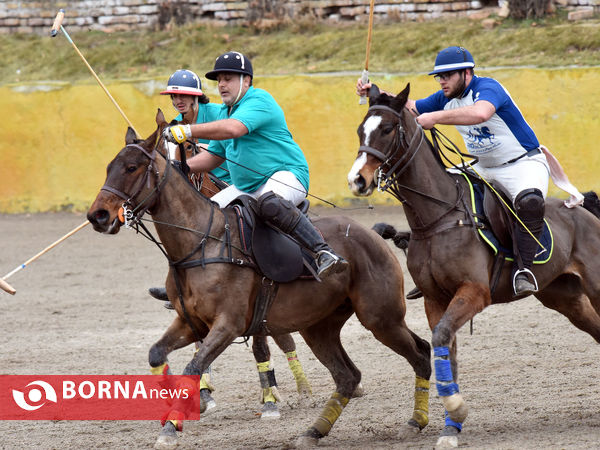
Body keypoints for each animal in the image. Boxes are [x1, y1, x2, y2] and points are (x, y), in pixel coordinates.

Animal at [85, 110, 432, 450]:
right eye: (108, 168)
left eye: (131, 167)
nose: (97, 216)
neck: (200, 243)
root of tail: (369, 233)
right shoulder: (190, 322)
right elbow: (157, 354)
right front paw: (179, 411)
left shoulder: (228, 324)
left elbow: (193, 367)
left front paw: (175, 424)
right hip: (319, 327)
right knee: (348, 376)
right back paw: (313, 432)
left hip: (380, 317)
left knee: (421, 352)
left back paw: (416, 421)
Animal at [344, 83, 600, 446]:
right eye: (360, 130)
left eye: (388, 128)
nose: (357, 181)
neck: (438, 218)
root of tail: (582, 209)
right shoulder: (436, 299)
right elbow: (445, 349)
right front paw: (452, 426)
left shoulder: (475, 292)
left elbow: (441, 340)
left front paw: (456, 413)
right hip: (564, 297)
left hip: (595, 285)